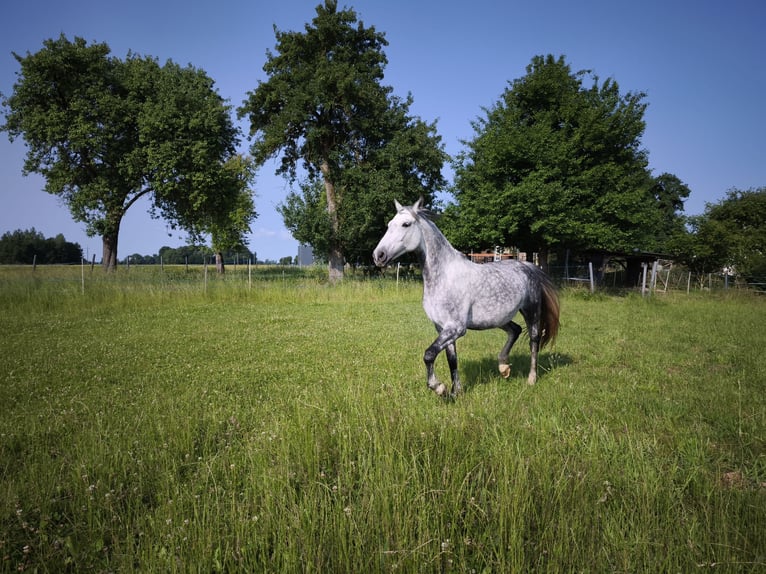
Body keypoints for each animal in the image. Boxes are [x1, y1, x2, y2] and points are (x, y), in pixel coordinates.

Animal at [373, 198, 560, 397]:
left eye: (406, 224)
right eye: (389, 225)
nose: (378, 255)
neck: (445, 276)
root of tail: (529, 266)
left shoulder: (456, 328)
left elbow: (429, 354)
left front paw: (439, 387)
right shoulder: (442, 328)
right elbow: (451, 360)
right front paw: (456, 392)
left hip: (531, 311)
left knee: (534, 340)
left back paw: (531, 379)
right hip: (498, 318)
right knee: (515, 330)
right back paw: (503, 368)